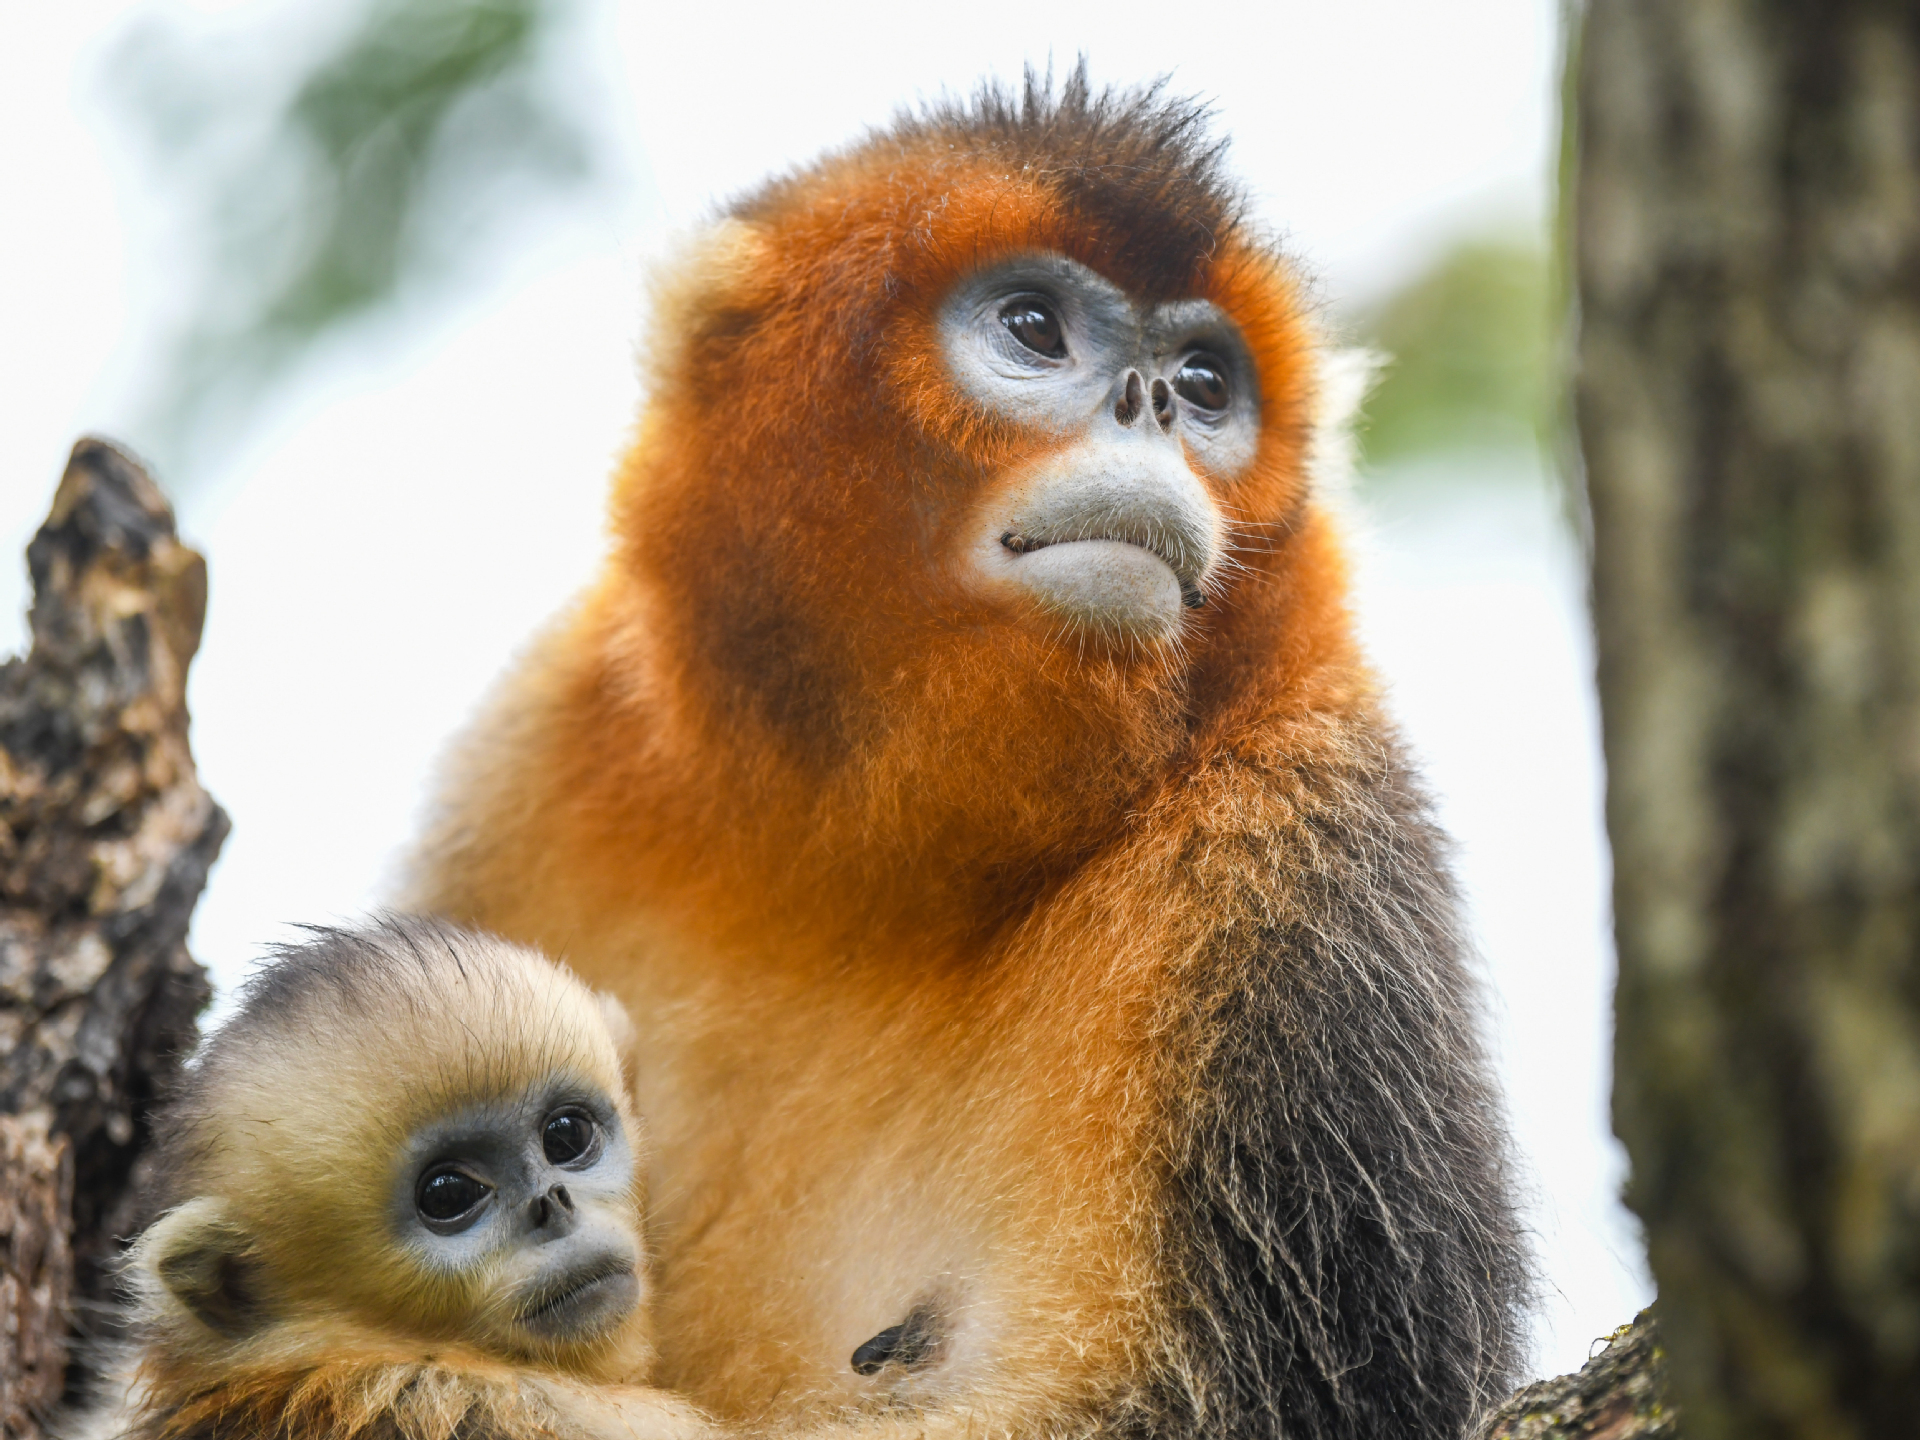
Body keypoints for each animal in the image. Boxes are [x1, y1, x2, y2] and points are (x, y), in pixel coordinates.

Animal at [405, 67, 1532, 1440]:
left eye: (1208, 381)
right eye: (1036, 327)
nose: (1154, 404)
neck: (866, 875)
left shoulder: (1296, 855)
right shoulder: (534, 748)